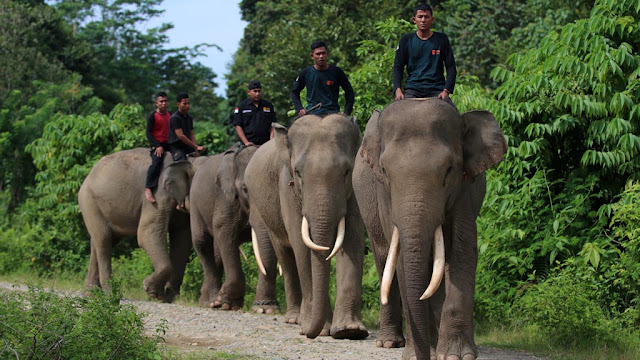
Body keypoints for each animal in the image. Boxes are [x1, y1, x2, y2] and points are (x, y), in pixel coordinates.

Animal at [79, 148, 206, 302]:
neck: (190, 160)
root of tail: (88, 176)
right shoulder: (157, 196)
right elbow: (146, 234)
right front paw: (152, 292)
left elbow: (182, 240)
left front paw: (168, 298)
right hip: (89, 202)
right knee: (104, 240)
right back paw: (110, 294)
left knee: (99, 242)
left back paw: (91, 294)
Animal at [190, 143, 280, 312]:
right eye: (245, 189)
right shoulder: (224, 196)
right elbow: (222, 229)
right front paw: (227, 303)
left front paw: (266, 309)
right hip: (195, 204)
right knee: (202, 243)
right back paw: (211, 302)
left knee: (217, 253)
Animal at [242, 114, 368, 340]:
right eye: (298, 173)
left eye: (347, 171)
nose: (307, 334)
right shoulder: (287, 187)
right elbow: (301, 245)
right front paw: (322, 328)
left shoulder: (354, 190)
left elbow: (353, 238)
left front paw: (350, 330)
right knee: (286, 256)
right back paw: (295, 319)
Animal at [352, 98, 508, 360]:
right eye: (384, 171)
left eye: (449, 169)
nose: (423, 356)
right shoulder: (384, 195)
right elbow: (400, 259)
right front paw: (416, 355)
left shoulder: (464, 189)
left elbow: (463, 250)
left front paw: (456, 355)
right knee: (384, 258)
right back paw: (389, 342)